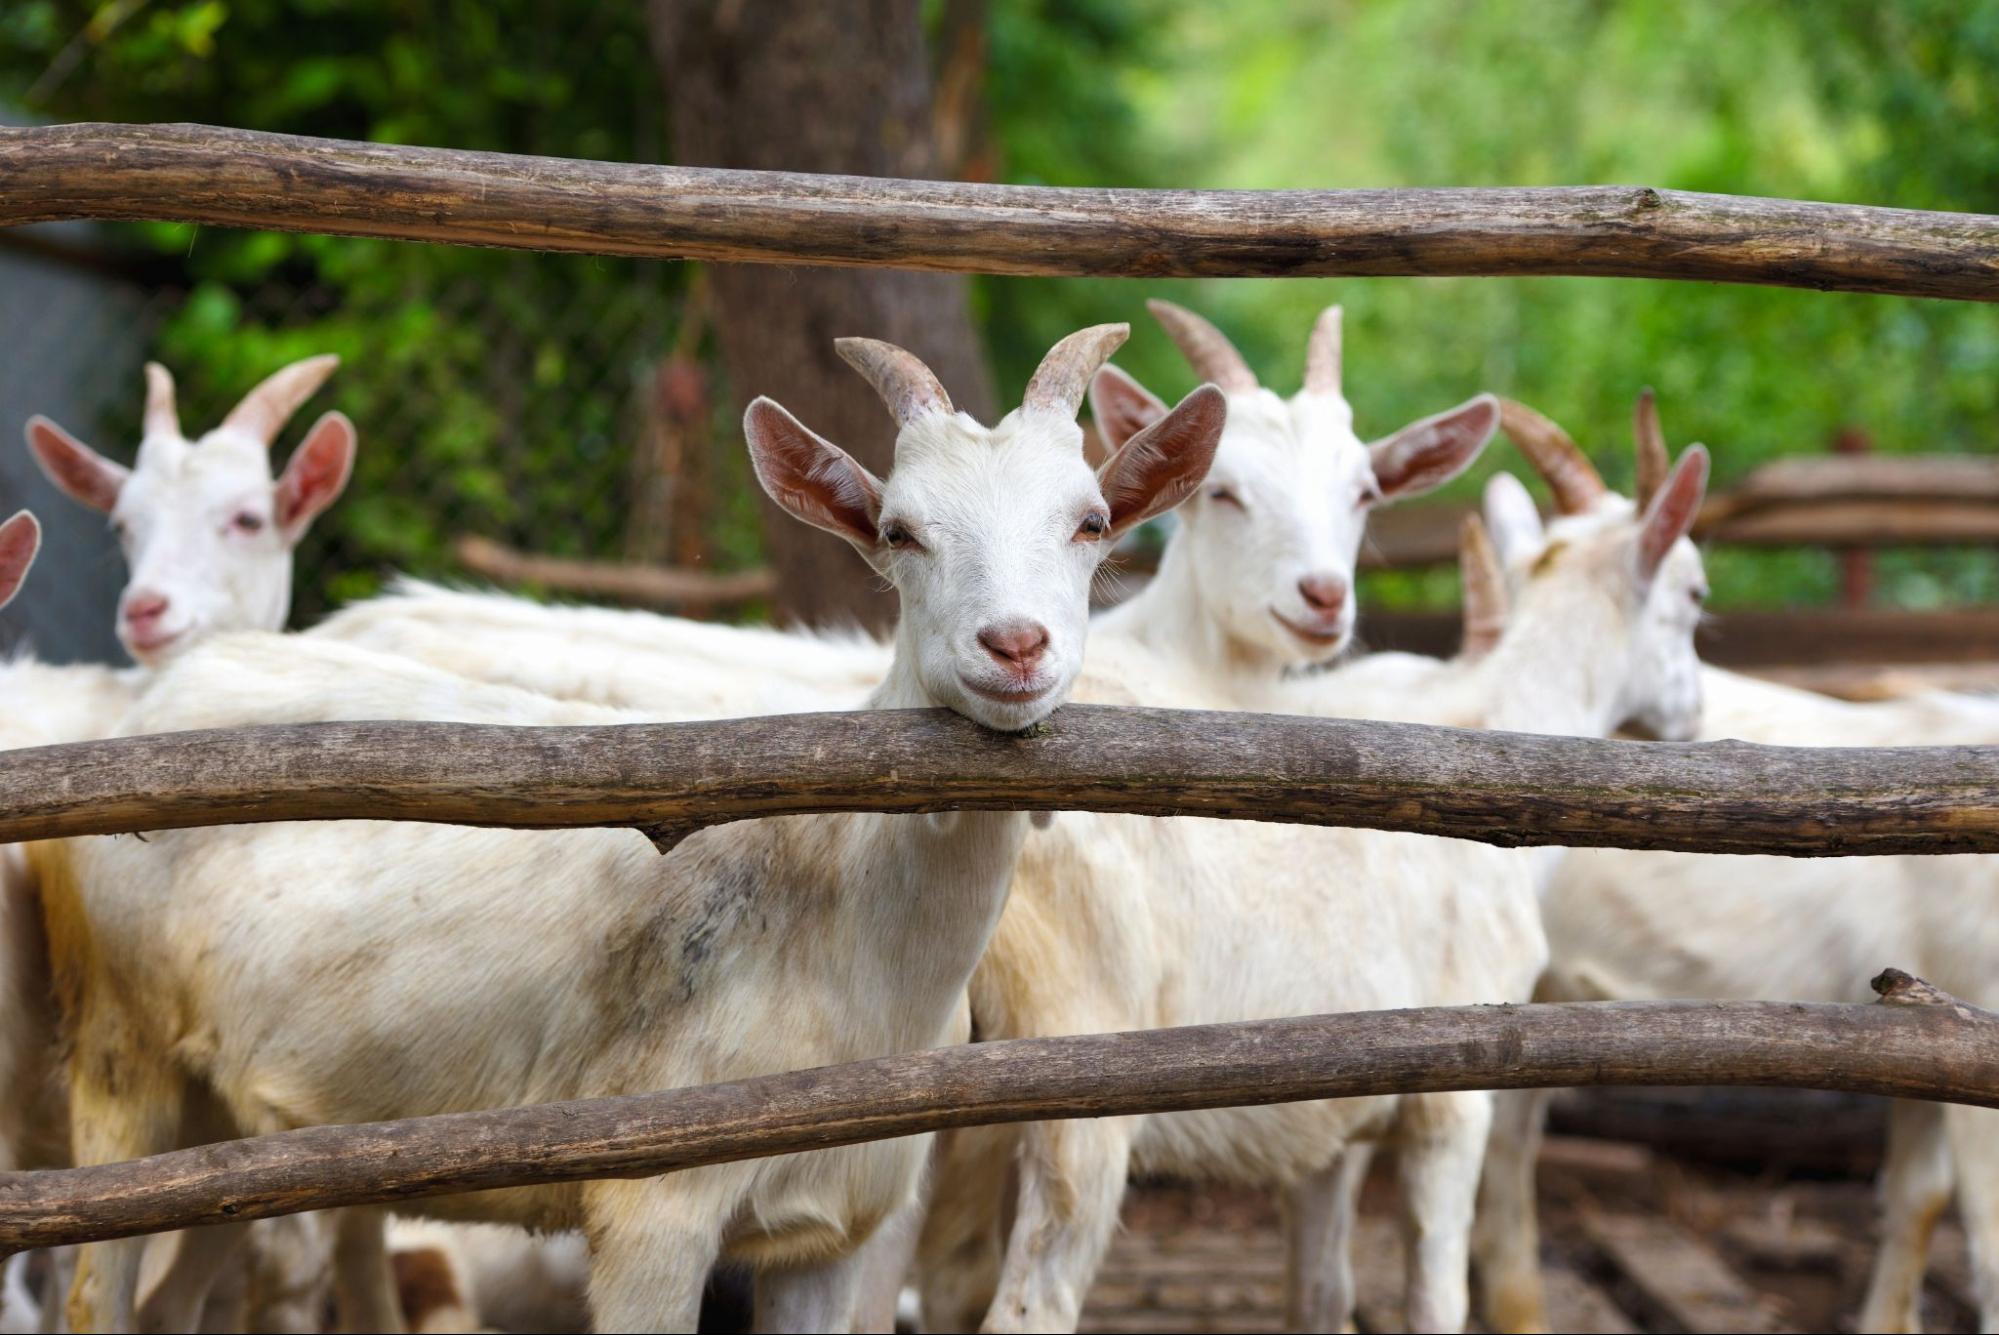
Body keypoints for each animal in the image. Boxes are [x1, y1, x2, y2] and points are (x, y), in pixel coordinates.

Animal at [40, 325, 1224, 1333]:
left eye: (1090, 522)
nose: (1014, 645)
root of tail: (148, 701)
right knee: (97, 1289)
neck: (842, 929)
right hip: (119, 1052)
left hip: (233, 1130)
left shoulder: (835, 1226)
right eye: (898, 530)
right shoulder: (652, 1201)